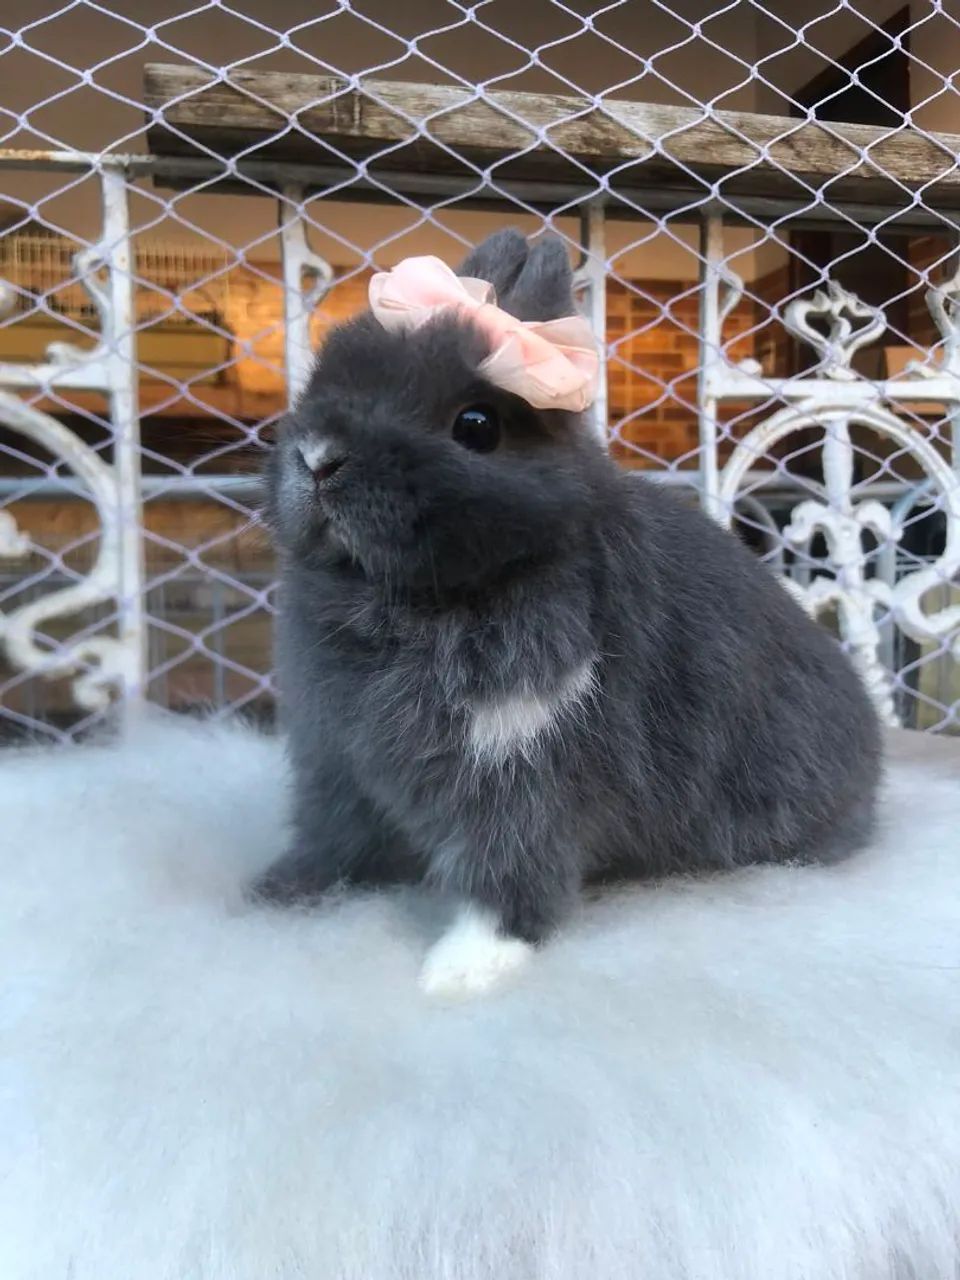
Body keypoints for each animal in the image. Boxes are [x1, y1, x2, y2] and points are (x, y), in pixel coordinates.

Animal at [252, 228, 882, 999]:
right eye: (325, 381)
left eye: (477, 426)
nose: (319, 458)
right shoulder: (336, 764)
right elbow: (331, 840)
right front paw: (280, 893)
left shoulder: (523, 774)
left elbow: (510, 873)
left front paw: (462, 968)